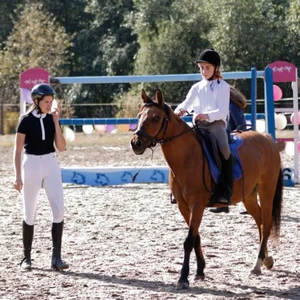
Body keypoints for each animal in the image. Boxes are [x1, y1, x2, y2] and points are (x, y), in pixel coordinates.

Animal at [130, 89, 282, 290]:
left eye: (155, 118)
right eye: (139, 116)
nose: (136, 143)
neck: (187, 157)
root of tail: (267, 139)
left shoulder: (197, 204)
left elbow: (188, 240)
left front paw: (183, 278)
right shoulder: (184, 206)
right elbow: (196, 237)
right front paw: (200, 270)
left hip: (266, 192)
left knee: (267, 224)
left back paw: (257, 264)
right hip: (249, 196)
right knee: (261, 223)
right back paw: (266, 259)